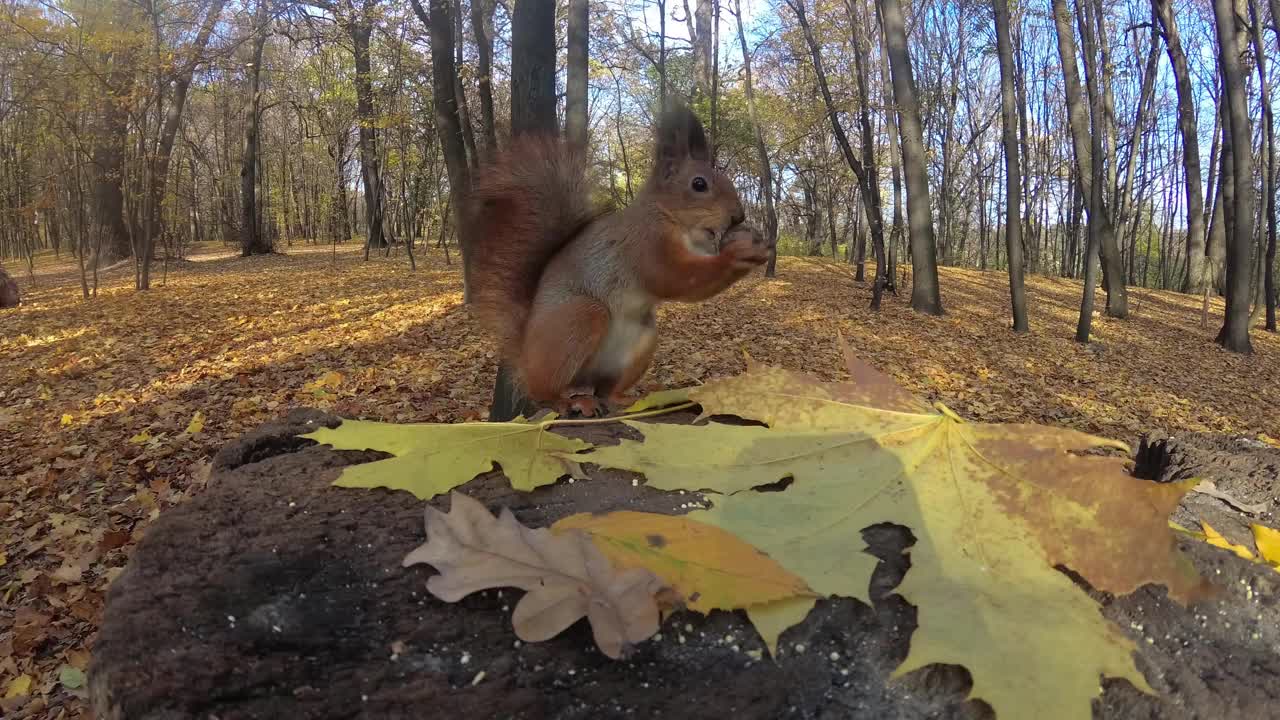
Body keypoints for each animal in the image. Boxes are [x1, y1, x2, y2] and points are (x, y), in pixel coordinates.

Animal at [471, 102, 768, 415]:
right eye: (699, 184)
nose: (739, 216)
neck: (672, 219)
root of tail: (525, 354)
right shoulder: (644, 243)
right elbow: (673, 277)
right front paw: (739, 254)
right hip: (578, 318)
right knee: (543, 390)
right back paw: (566, 401)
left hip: (642, 338)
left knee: (605, 389)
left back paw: (623, 397)